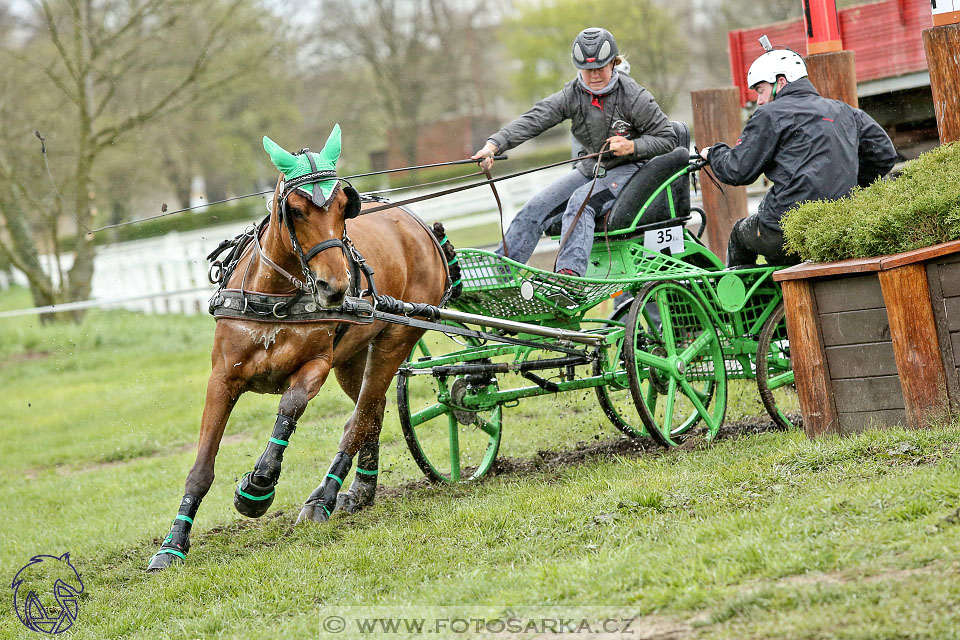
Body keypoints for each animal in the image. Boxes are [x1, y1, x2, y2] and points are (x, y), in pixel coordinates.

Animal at [148, 126, 460, 568]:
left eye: (343, 206)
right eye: (295, 210)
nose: (336, 288)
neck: (277, 296)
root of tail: (418, 226)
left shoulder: (316, 365)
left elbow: (291, 405)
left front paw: (258, 486)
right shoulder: (222, 378)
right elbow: (202, 465)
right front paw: (173, 544)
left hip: (393, 341)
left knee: (360, 418)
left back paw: (323, 497)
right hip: (354, 358)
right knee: (373, 409)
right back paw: (361, 491)